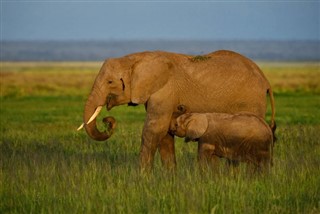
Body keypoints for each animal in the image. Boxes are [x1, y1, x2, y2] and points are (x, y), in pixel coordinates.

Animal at [77, 50, 276, 172]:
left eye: (110, 82)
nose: (108, 121)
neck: (136, 58)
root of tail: (265, 80)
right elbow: (164, 132)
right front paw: (169, 180)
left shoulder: (164, 90)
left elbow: (154, 129)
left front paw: (141, 179)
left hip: (251, 102)